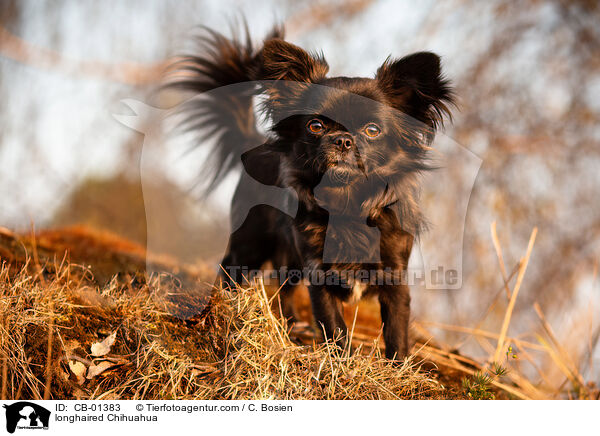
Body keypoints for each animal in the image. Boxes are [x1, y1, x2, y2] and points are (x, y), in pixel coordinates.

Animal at [171, 23, 452, 360]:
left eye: (372, 130)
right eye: (315, 126)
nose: (343, 139)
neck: (348, 205)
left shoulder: (394, 278)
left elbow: (396, 332)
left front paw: (397, 367)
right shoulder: (319, 274)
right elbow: (335, 327)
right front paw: (342, 362)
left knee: (284, 289)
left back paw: (292, 326)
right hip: (250, 244)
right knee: (230, 275)